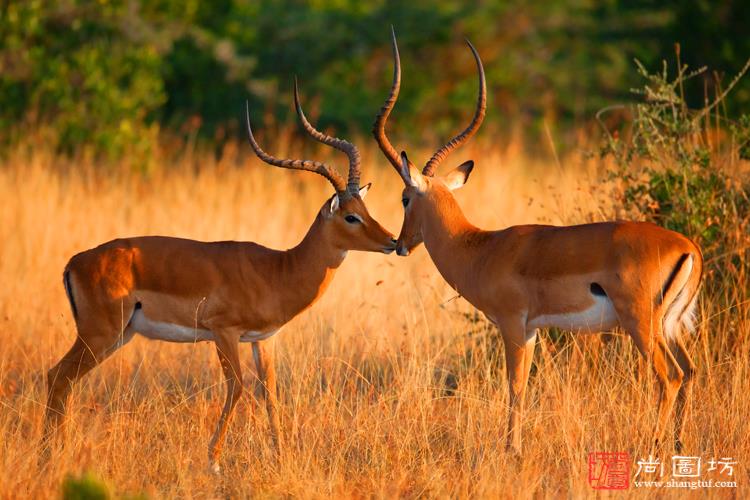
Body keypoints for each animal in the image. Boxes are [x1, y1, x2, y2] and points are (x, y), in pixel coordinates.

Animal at [45, 80, 400, 470]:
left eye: (365, 208)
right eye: (350, 216)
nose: (392, 240)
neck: (278, 270)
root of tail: (74, 262)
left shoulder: (263, 339)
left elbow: (270, 392)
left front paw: (281, 455)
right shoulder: (224, 332)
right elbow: (237, 387)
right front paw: (213, 460)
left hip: (118, 336)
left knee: (65, 380)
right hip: (100, 334)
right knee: (58, 376)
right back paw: (51, 454)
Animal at [376, 29, 704, 456]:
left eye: (404, 198)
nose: (399, 243)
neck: (481, 249)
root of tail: (689, 248)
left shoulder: (513, 325)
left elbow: (515, 386)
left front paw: (510, 449)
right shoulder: (531, 330)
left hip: (642, 323)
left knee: (670, 376)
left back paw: (652, 445)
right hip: (671, 324)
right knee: (690, 371)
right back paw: (679, 445)